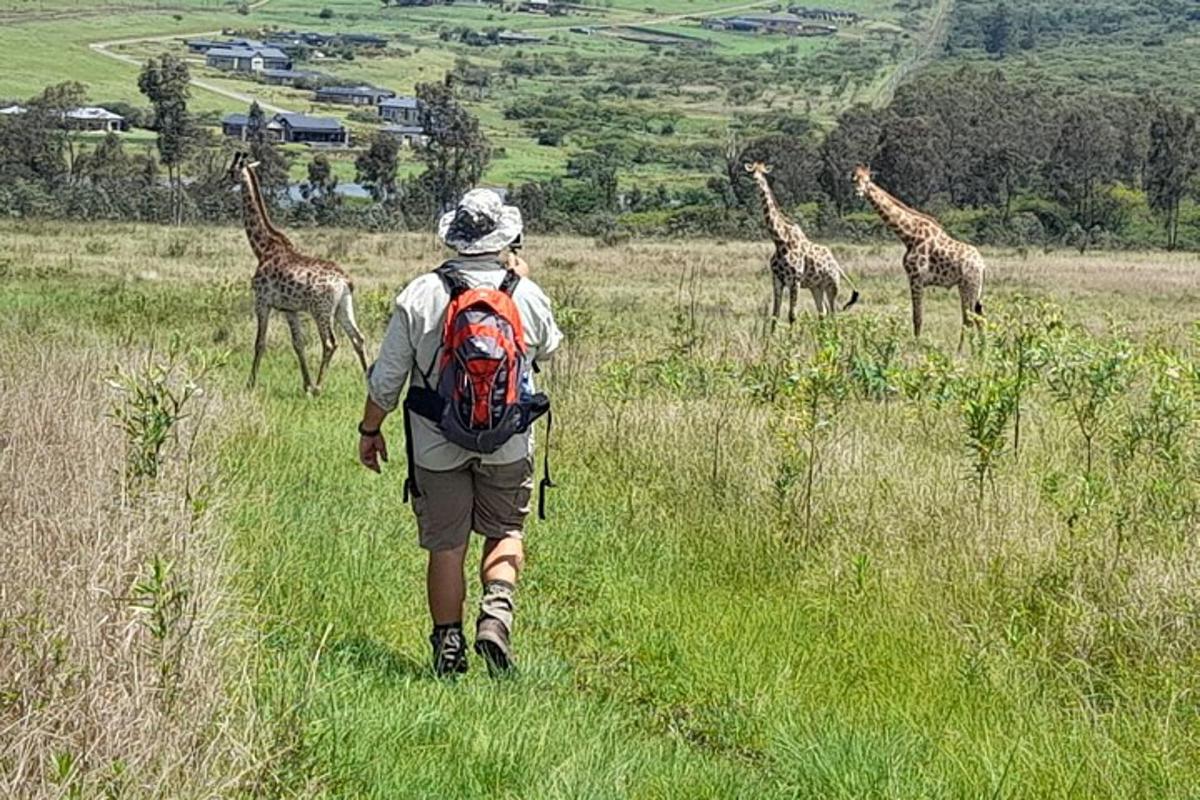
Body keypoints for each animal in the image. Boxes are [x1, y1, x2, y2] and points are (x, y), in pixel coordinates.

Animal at [229, 152, 367, 393]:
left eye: (230, 170)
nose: (224, 181)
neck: (262, 248)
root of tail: (345, 281)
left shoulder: (262, 301)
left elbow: (259, 343)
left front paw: (250, 384)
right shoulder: (289, 309)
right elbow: (298, 344)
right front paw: (305, 384)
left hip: (321, 309)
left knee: (330, 343)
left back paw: (320, 387)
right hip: (343, 306)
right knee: (358, 338)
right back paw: (369, 382)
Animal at [744, 160, 859, 326]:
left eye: (763, 172)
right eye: (752, 171)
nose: (756, 179)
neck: (780, 241)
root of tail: (837, 266)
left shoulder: (795, 280)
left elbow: (792, 316)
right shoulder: (777, 280)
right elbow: (775, 315)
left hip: (832, 286)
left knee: (833, 313)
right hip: (816, 287)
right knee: (822, 312)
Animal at [854, 164, 984, 347]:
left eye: (867, 181)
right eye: (854, 180)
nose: (858, 193)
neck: (908, 234)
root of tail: (981, 264)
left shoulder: (916, 277)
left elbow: (917, 317)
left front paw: (916, 344)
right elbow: (917, 316)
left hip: (968, 285)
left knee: (969, 318)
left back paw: (962, 350)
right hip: (974, 288)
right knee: (979, 317)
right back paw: (982, 348)